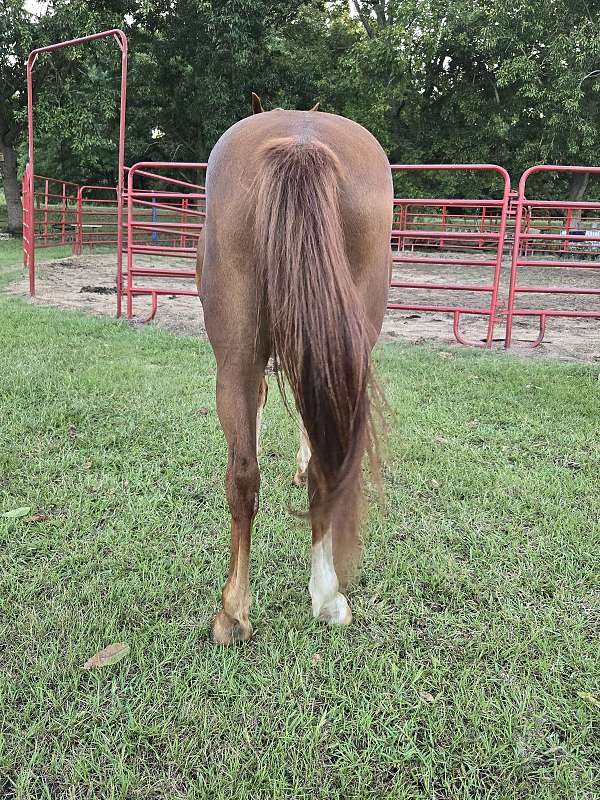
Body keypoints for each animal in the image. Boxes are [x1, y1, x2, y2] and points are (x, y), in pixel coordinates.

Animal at [196, 94, 393, 644]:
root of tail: (302, 144)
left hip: (235, 357)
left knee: (243, 473)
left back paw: (236, 613)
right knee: (323, 466)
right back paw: (325, 599)